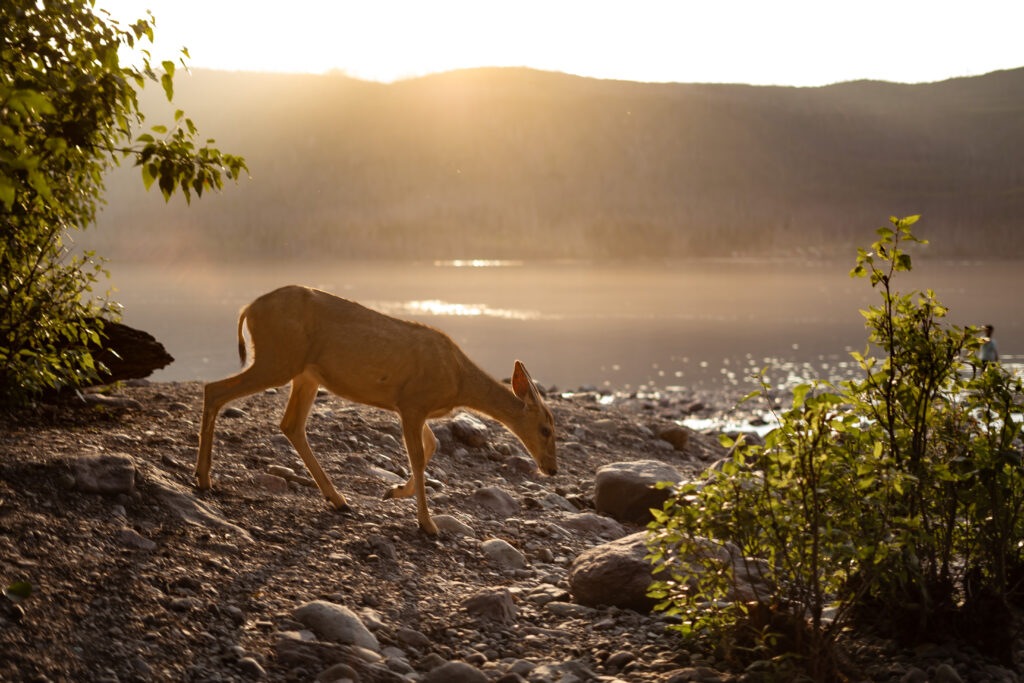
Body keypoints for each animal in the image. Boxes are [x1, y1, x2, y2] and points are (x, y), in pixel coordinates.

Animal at [194, 282, 557, 532]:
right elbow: (419, 455)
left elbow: (432, 446)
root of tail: (248, 308)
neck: (458, 381)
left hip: (304, 373)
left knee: (290, 424)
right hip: (278, 358)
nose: (552, 468)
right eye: (546, 429)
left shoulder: (411, 405)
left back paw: (338, 500)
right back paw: (203, 478)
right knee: (214, 389)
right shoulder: (412, 402)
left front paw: (393, 492)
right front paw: (428, 524)